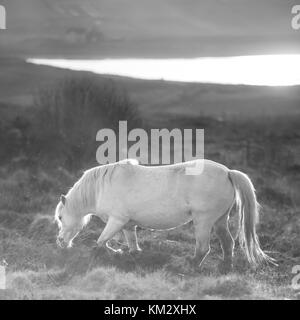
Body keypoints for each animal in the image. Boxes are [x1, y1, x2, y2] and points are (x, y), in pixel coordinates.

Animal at [54, 159, 274, 272]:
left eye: (61, 218)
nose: (60, 242)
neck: (101, 187)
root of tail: (228, 172)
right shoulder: (127, 224)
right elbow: (131, 242)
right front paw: (130, 255)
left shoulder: (117, 221)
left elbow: (100, 242)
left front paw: (106, 254)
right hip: (219, 220)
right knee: (228, 243)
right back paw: (225, 266)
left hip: (203, 221)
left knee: (204, 248)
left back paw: (191, 265)